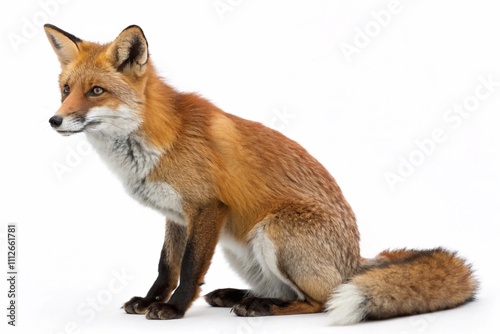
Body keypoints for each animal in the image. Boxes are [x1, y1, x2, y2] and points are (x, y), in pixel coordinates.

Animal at [45, 22, 478, 324]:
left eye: (96, 92)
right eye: (65, 90)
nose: (54, 121)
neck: (157, 139)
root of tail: (355, 261)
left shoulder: (207, 208)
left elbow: (189, 268)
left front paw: (174, 310)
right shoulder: (177, 216)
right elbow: (166, 267)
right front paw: (151, 301)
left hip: (274, 231)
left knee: (319, 300)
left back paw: (260, 307)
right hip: (240, 247)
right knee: (288, 291)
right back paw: (238, 296)